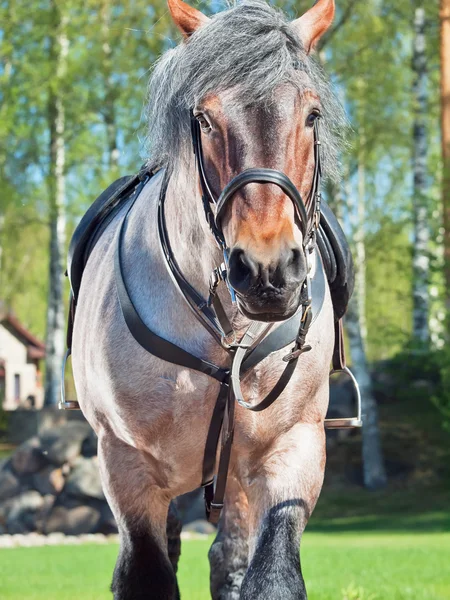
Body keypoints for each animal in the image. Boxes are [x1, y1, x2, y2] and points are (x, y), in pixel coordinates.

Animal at [66, 2, 356, 596]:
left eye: (312, 115)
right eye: (203, 118)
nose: (267, 271)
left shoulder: (292, 448)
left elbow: (268, 575)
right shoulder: (127, 463)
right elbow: (147, 572)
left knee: (231, 556)